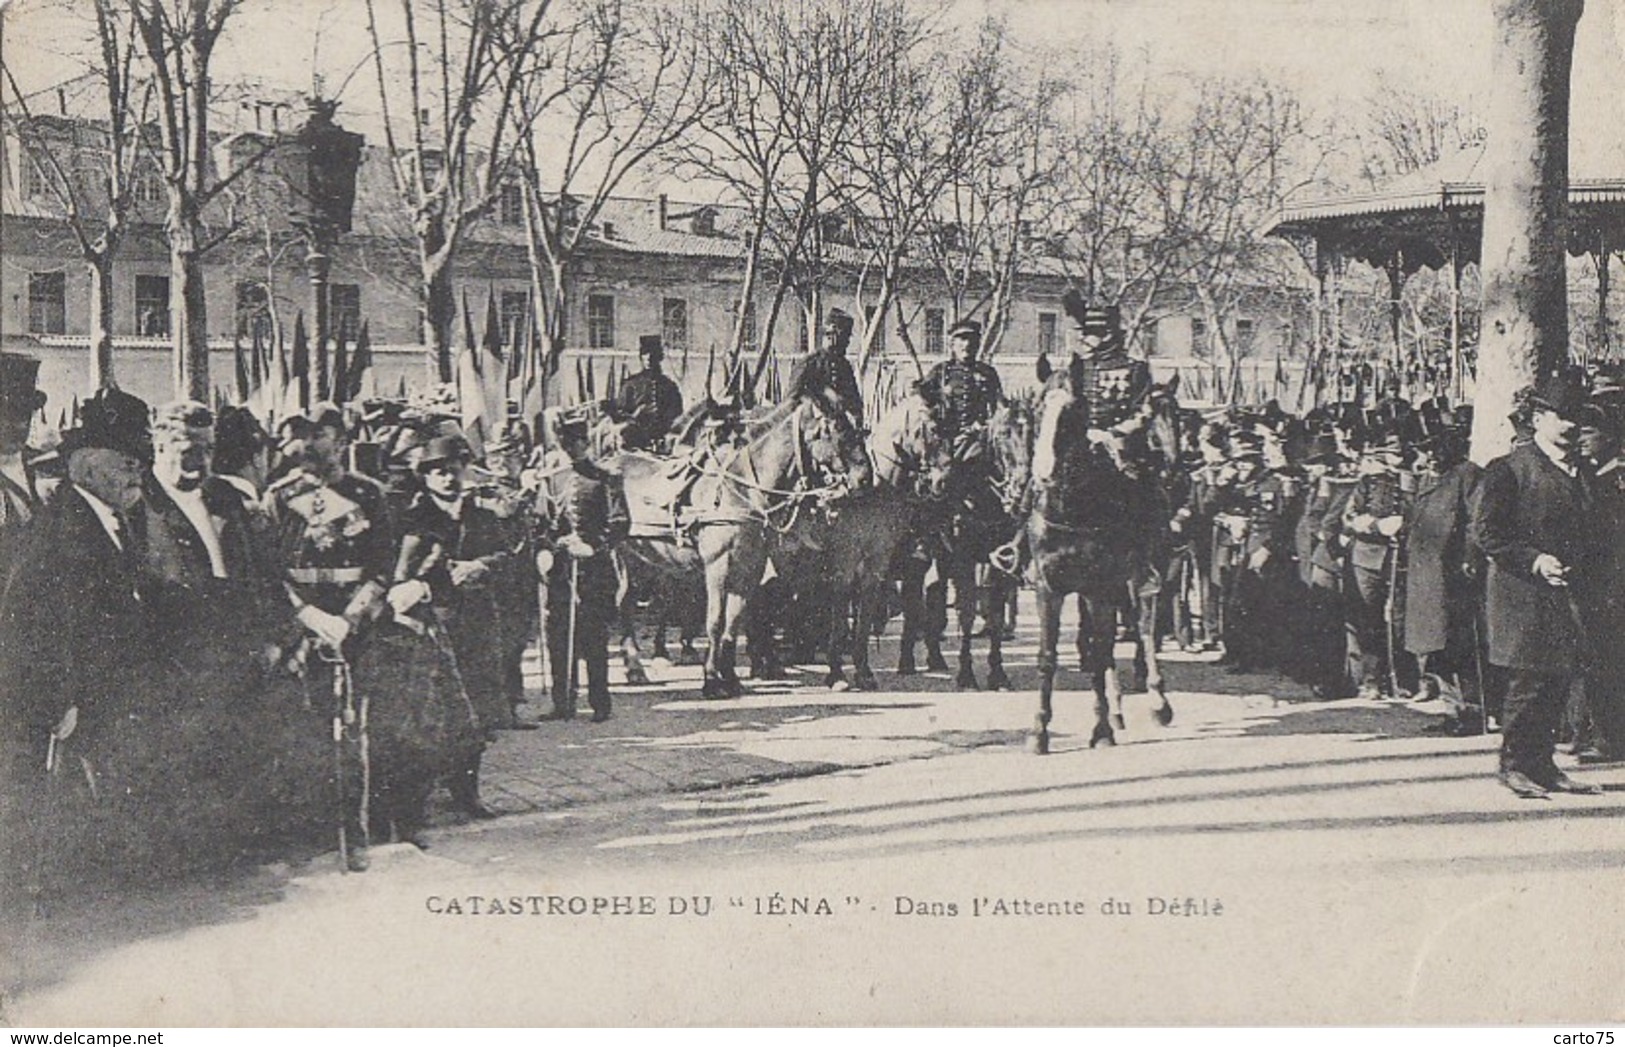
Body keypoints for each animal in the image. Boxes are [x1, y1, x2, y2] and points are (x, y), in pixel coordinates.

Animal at [1027, 375, 1183, 751]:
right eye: (1037, 406)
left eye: (1072, 411)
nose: (1043, 471)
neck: (1072, 508)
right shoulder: (1049, 588)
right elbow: (1048, 657)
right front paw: (1039, 731)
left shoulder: (1102, 586)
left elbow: (1110, 648)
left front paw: (1100, 729)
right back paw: (1117, 707)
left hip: (1142, 573)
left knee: (1144, 627)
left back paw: (1157, 701)